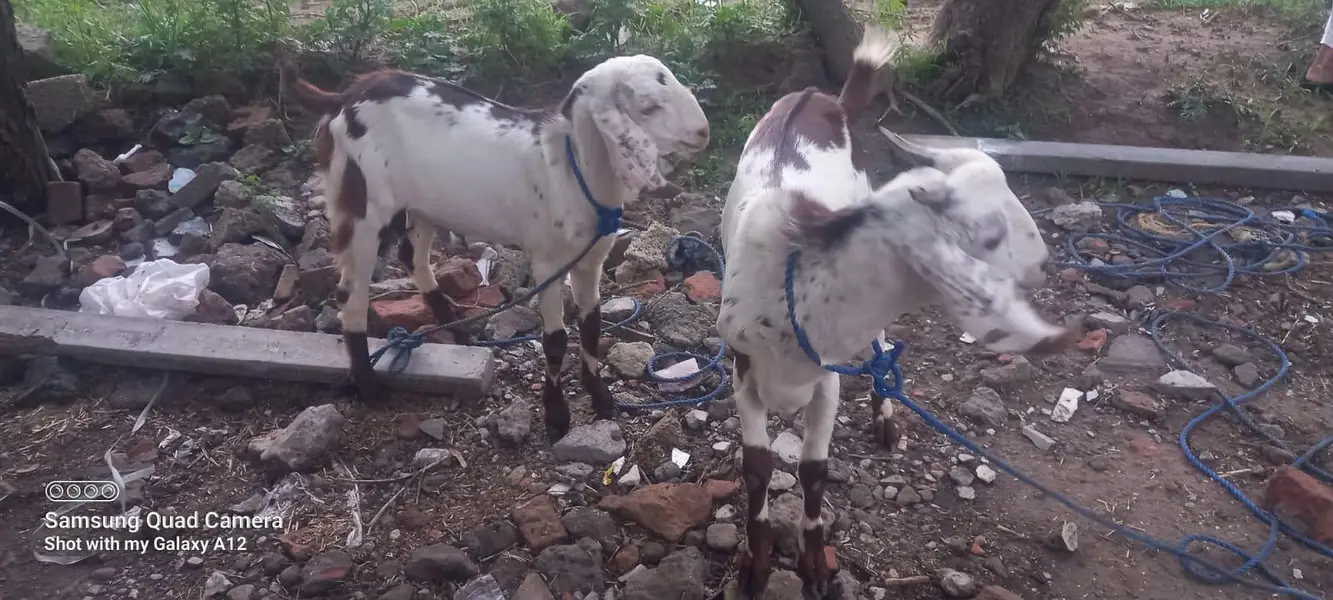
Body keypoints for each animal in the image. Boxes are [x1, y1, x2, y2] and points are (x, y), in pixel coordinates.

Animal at [285, 57, 710, 442]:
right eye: (648, 106)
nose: (703, 131)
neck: (567, 168)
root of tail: (343, 98)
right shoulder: (548, 260)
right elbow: (555, 340)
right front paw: (556, 417)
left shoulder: (591, 259)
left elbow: (591, 326)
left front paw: (602, 400)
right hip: (361, 206)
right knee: (351, 293)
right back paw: (370, 386)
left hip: (425, 206)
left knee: (412, 258)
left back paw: (455, 325)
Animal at [715, 27, 1076, 598]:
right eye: (987, 235)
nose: (1043, 264)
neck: (796, 275)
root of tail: (823, 99)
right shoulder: (743, 369)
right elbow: (757, 467)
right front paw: (755, 565)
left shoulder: (828, 376)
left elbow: (814, 469)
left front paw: (816, 565)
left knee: (881, 342)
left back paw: (884, 412)